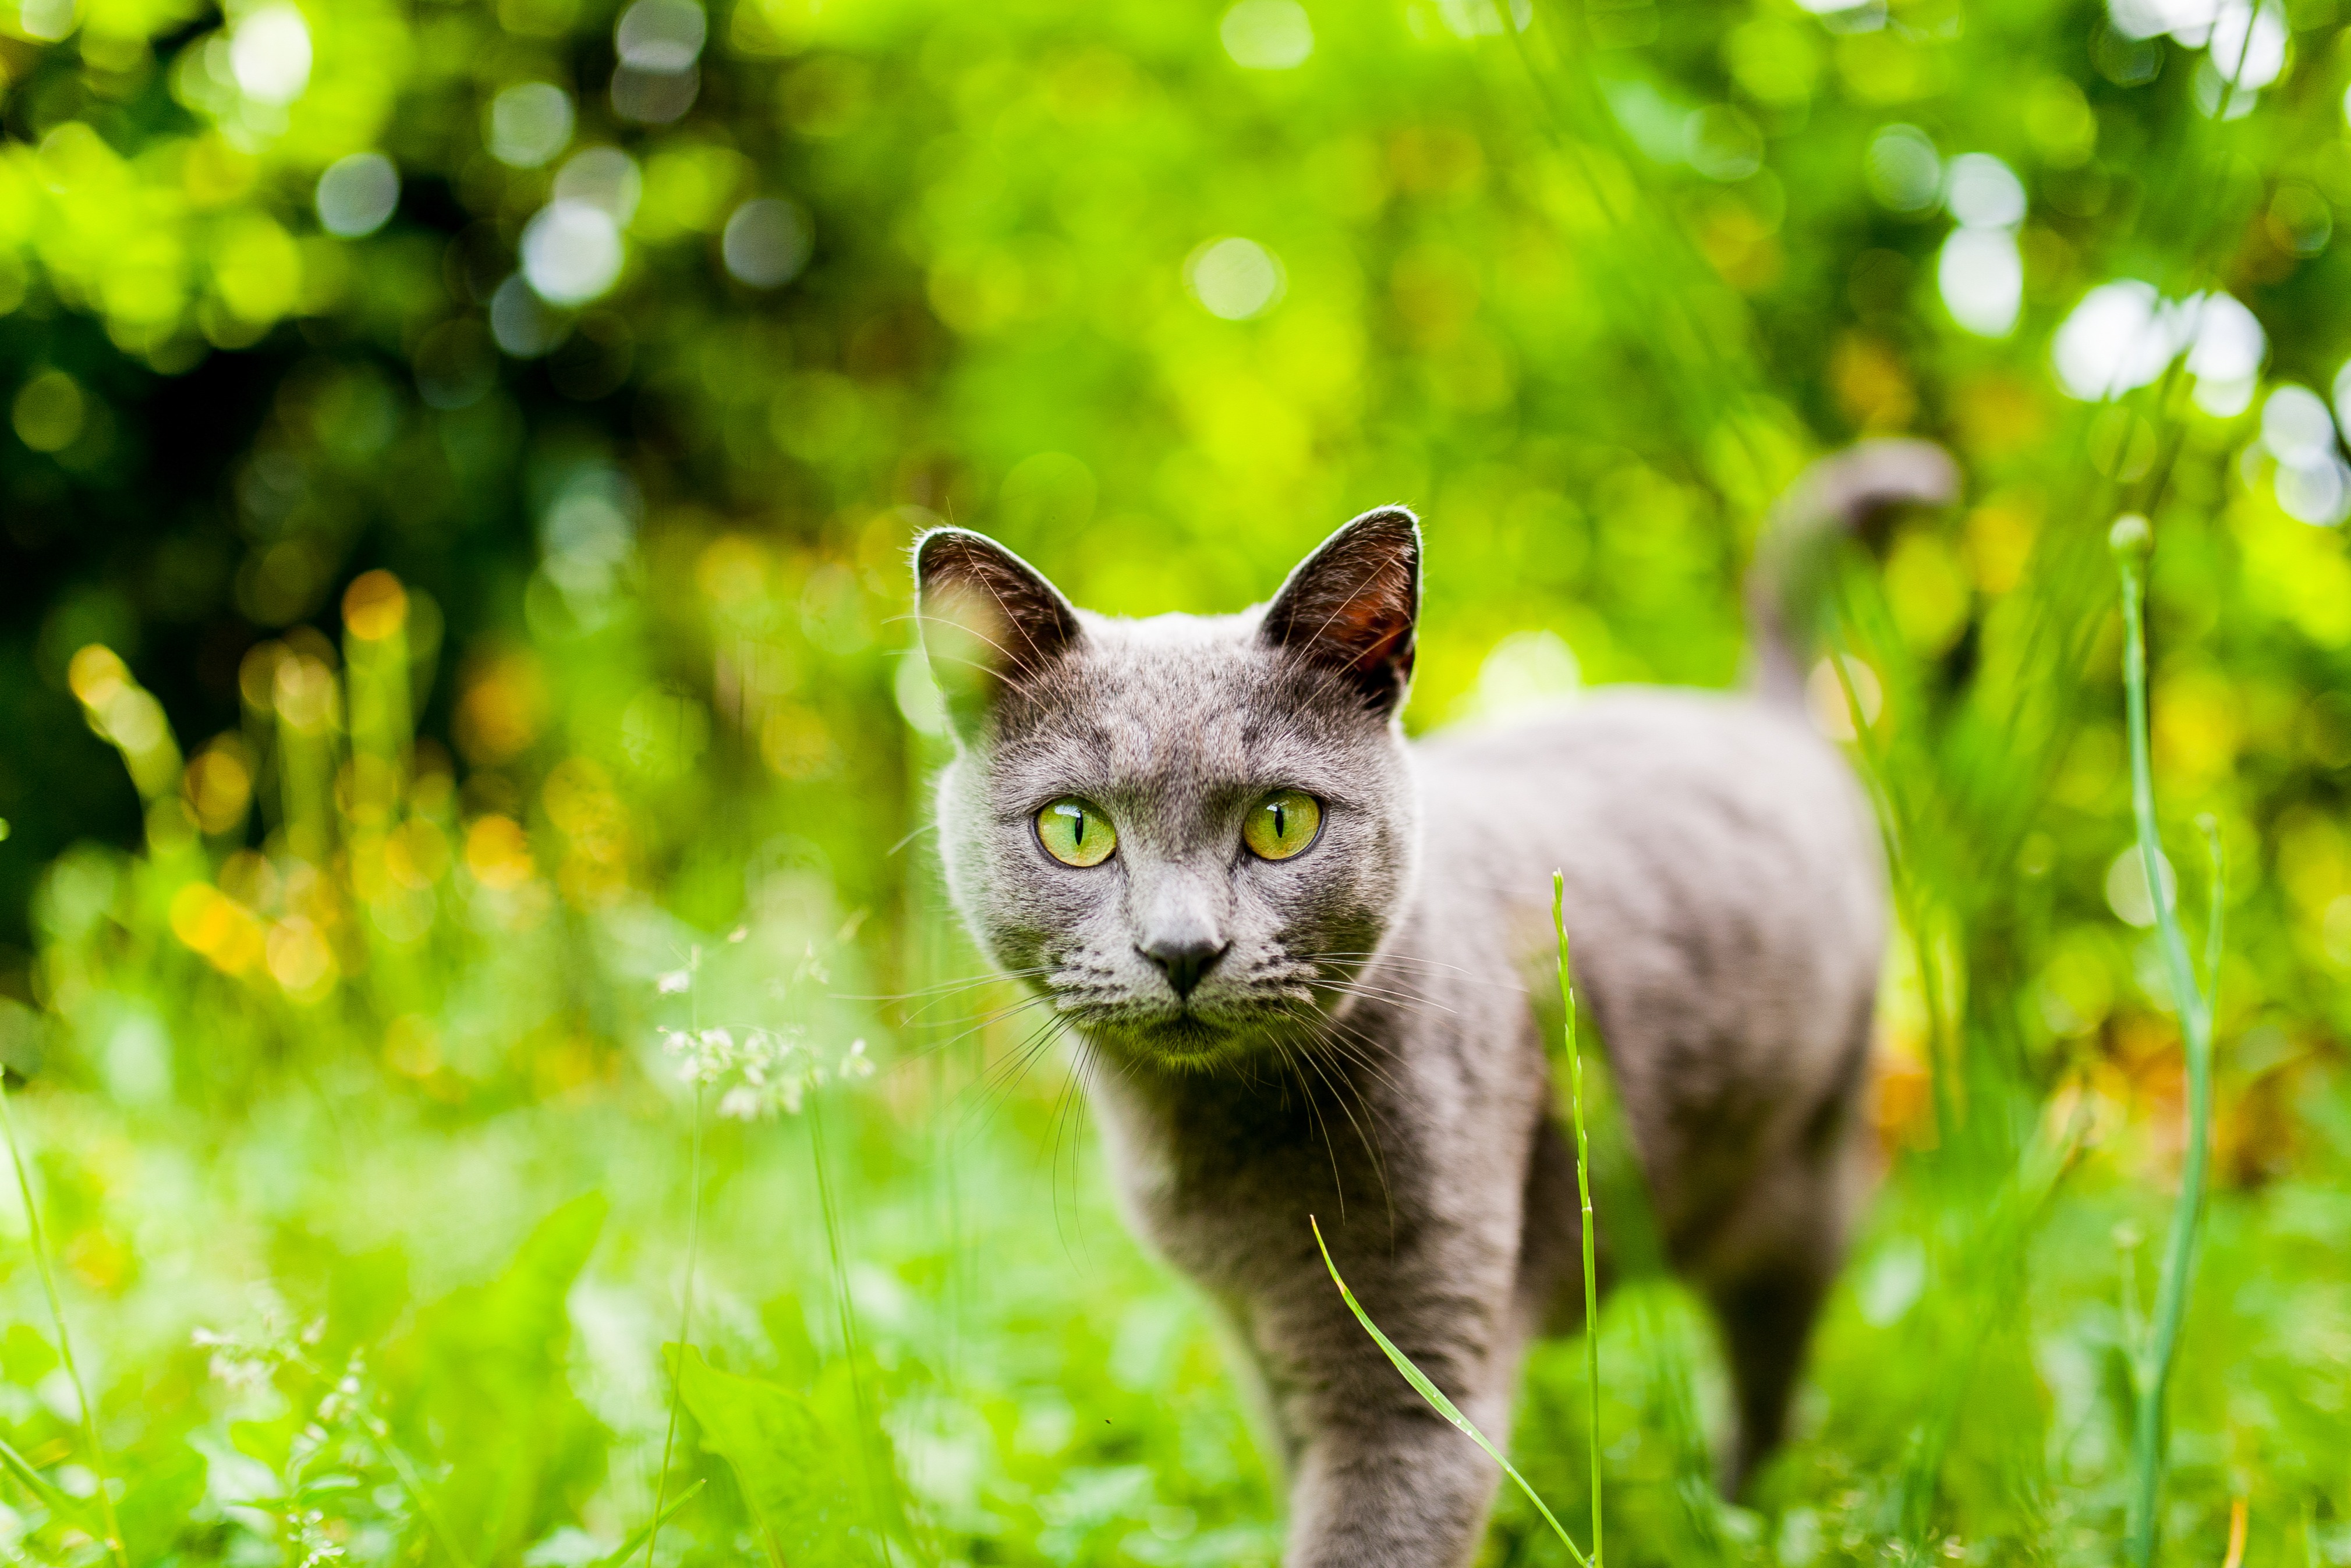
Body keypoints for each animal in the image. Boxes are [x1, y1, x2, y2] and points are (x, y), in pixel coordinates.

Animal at [907, 442, 1956, 1568]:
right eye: (1074, 828)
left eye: (1282, 822)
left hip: (1804, 1170)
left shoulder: (1414, 1366)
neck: (1219, 1148)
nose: (1181, 945)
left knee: (1770, 1369)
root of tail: (1759, 708)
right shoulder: (1261, 1341)